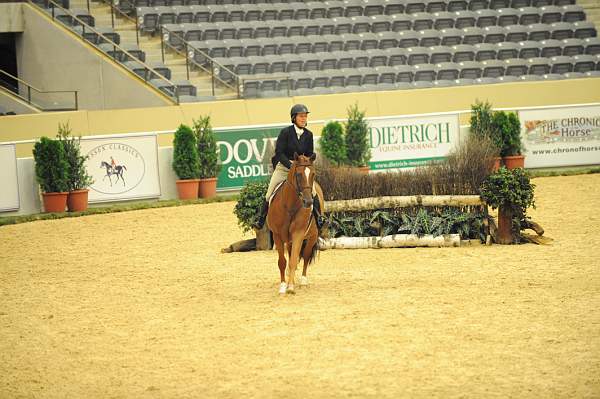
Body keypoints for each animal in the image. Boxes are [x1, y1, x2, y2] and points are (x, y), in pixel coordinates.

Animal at [268, 155, 324, 296]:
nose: (308, 202)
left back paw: (303, 280)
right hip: (288, 239)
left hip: (312, 236)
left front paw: (291, 287)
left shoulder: (298, 234)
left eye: (313, 174)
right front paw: (283, 286)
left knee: (306, 255)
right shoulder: (277, 236)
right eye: (298, 175)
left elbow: (294, 260)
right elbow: (282, 262)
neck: (290, 206)